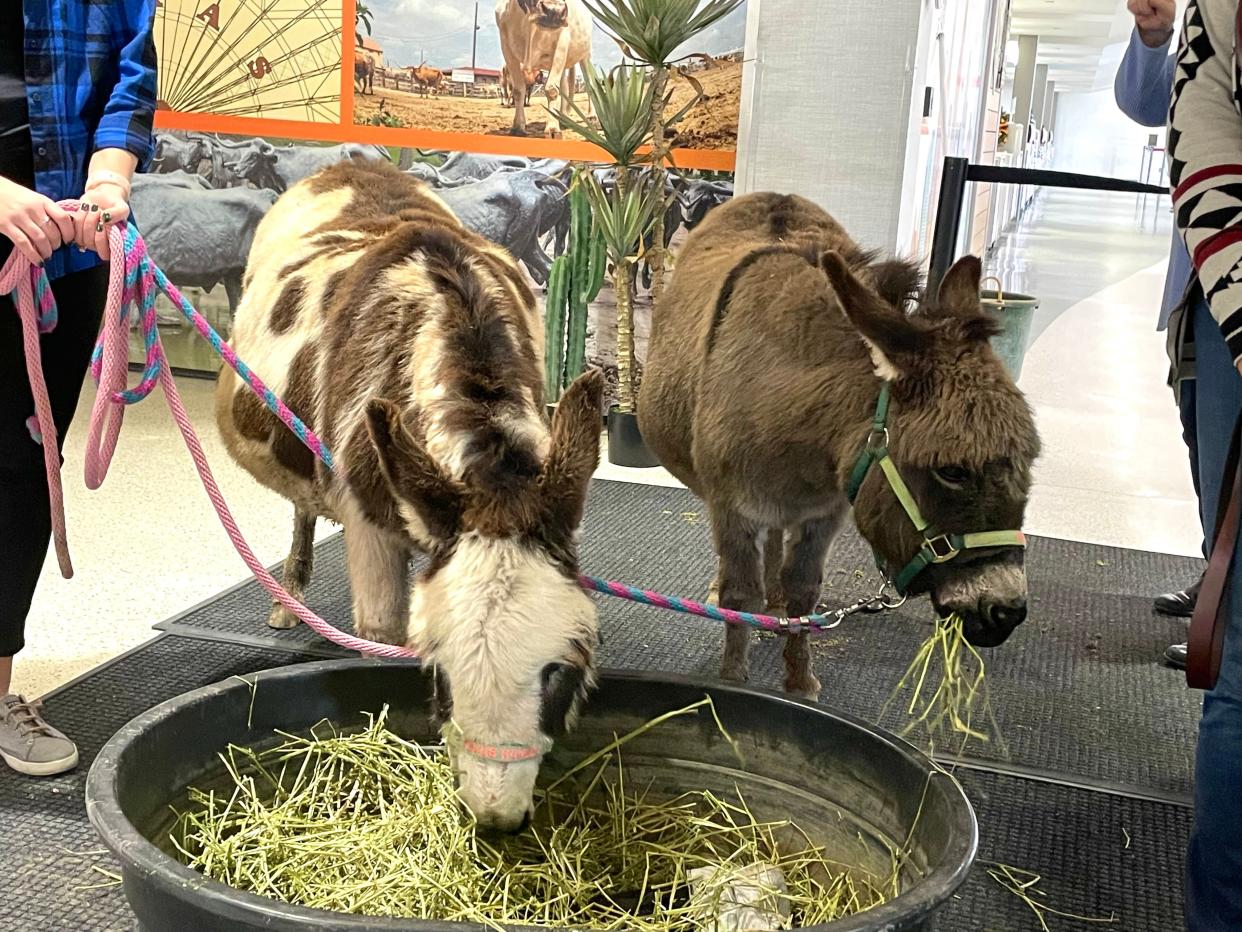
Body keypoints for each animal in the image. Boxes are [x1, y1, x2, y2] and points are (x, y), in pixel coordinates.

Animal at [216, 160, 603, 830]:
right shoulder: (367, 526)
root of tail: (349, 165)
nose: (496, 817)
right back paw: (287, 602)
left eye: (560, 672)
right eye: (439, 673)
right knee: (301, 511)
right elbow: (379, 630)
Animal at [494, 0, 591, 136]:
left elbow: (551, 89)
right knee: (564, 86)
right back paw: (563, 119)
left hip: (585, 54)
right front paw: (518, 127)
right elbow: (518, 91)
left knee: (591, 85)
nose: (555, 11)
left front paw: (552, 128)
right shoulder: (506, 46)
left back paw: (593, 118)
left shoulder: (562, 41)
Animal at [640, 191, 1038, 700]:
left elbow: (804, 590)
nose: (1006, 614)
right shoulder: (732, 508)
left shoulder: (825, 513)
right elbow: (738, 593)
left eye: (1030, 461)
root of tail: (773, 196)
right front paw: (732, 680)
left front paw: (798, 682)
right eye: (951, 471)